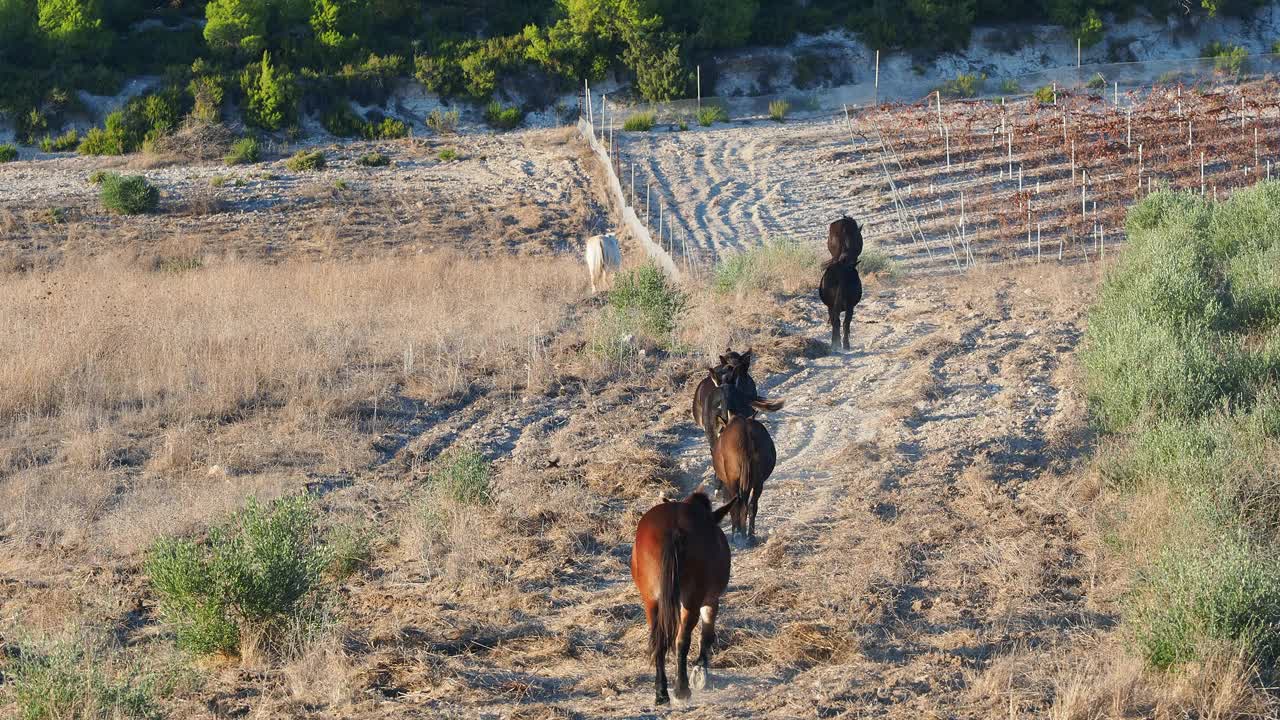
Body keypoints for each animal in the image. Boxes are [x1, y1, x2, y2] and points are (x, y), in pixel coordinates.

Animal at [632, 486, 742, 702]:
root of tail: (673, 530)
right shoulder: (711, 600)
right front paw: (700, 672)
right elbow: (706, 635)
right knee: (682, 639)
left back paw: (661, 692)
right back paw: (682, 688)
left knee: (659, 639)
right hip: (692, 599)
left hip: (651, 600)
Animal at [711, 379, 778, 540]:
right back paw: (750, 536)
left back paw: (738, 534)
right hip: (758, 481)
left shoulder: (728, 483)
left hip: (734, 481)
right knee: (752, 504)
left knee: (738, 503)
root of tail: (745, 435)